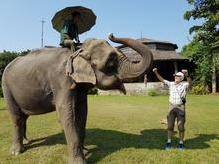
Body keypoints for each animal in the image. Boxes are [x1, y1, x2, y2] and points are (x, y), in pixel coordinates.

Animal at [1, 34, 152, 163]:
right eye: (110, 63)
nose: (111, 35)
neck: (78, 50)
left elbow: (82, 111)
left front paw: (84, 150)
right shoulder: (61, 80)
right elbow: (67, 112)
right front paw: (79, 161)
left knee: (23, 117)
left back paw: (27, 141)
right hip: (7, 88)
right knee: (16, 117)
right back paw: (17, 151)